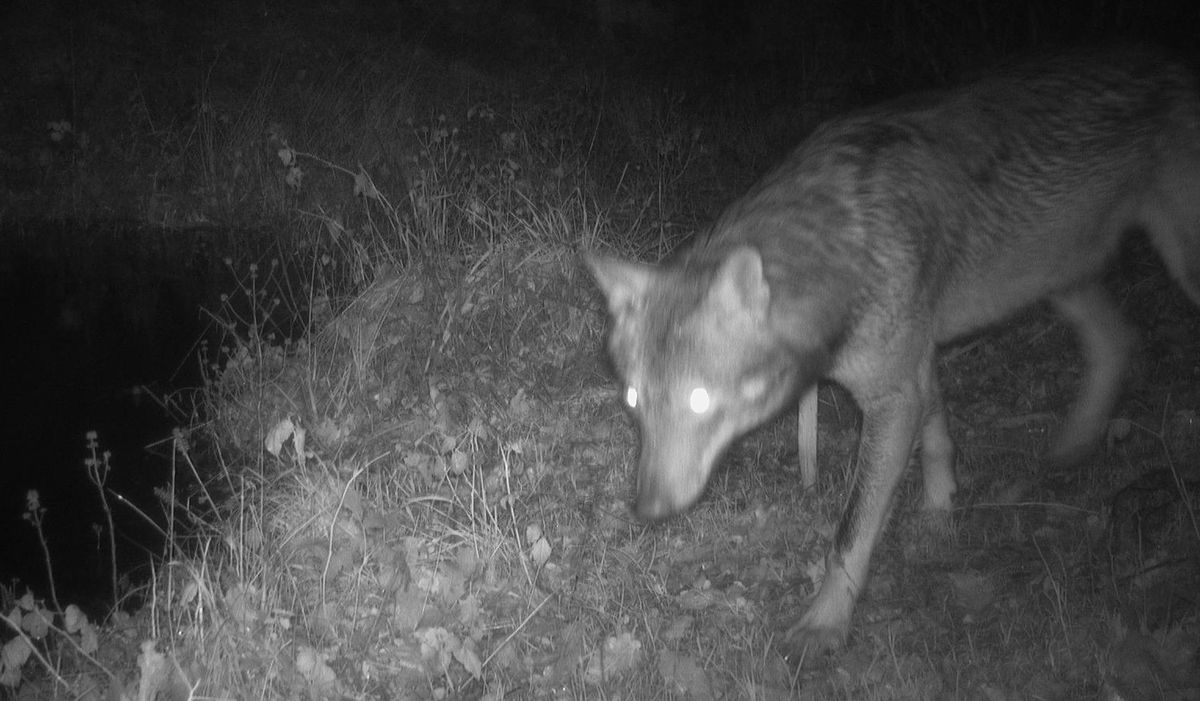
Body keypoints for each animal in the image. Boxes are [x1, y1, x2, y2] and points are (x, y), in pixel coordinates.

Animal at [585, 46, 1200, 662]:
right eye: (634, 401)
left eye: (699, 399)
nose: (648, 510)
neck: (845, 251)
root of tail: (1173, 63)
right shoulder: (912, 366)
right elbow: (938, 437)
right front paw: (940, 512)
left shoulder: (893, 392)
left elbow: (851, 530)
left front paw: (825, 624)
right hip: (1057, 275)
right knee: (1118, 340)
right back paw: (1074, 445)